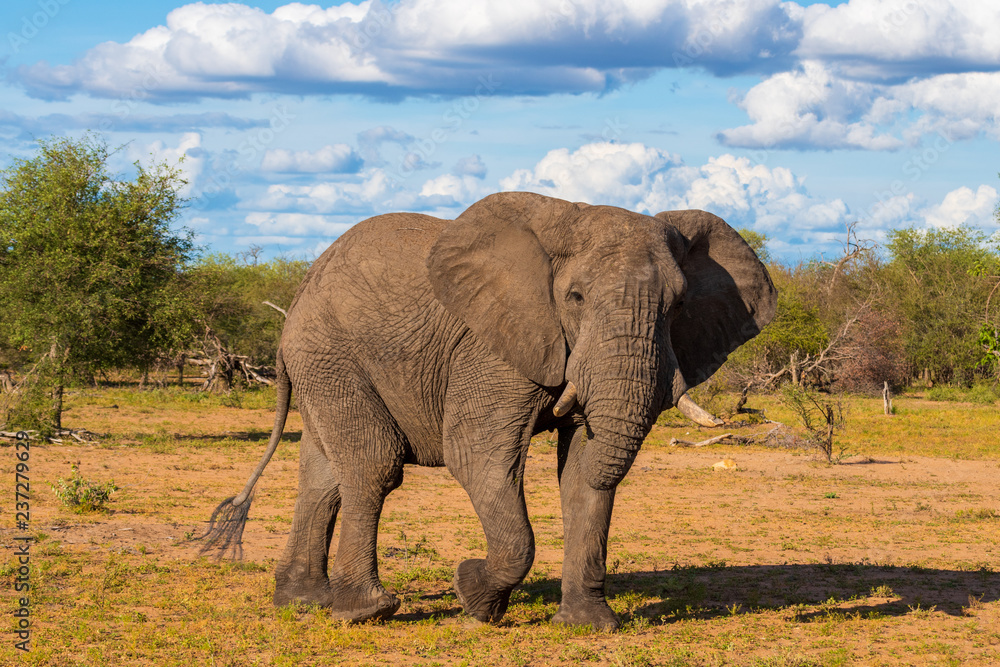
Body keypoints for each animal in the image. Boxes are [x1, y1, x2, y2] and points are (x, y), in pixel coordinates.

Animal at [199, 191, 777, 630]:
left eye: (677, 306)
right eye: (575, 297)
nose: (467, 577)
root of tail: (298, 296)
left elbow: (581, 468)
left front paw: (589, 625)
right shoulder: (492, 346)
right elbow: (479, 457)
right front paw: (473, 596)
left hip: (321, 362)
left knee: (324, 472)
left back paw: (303, 603)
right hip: (329, 352)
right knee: (373, 463)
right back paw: (366, 612)